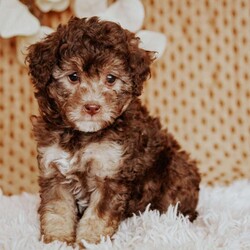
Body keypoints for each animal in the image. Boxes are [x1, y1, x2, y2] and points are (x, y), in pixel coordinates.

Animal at [25, 17, 201, 246]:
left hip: (175, 169)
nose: (92, 107)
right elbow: (57, 209)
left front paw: (88, 242)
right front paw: (58, 240)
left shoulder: (111, 173)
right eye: (73, 76)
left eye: (111, 78)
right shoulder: (54, 170)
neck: (83, 135)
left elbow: (98, 216)